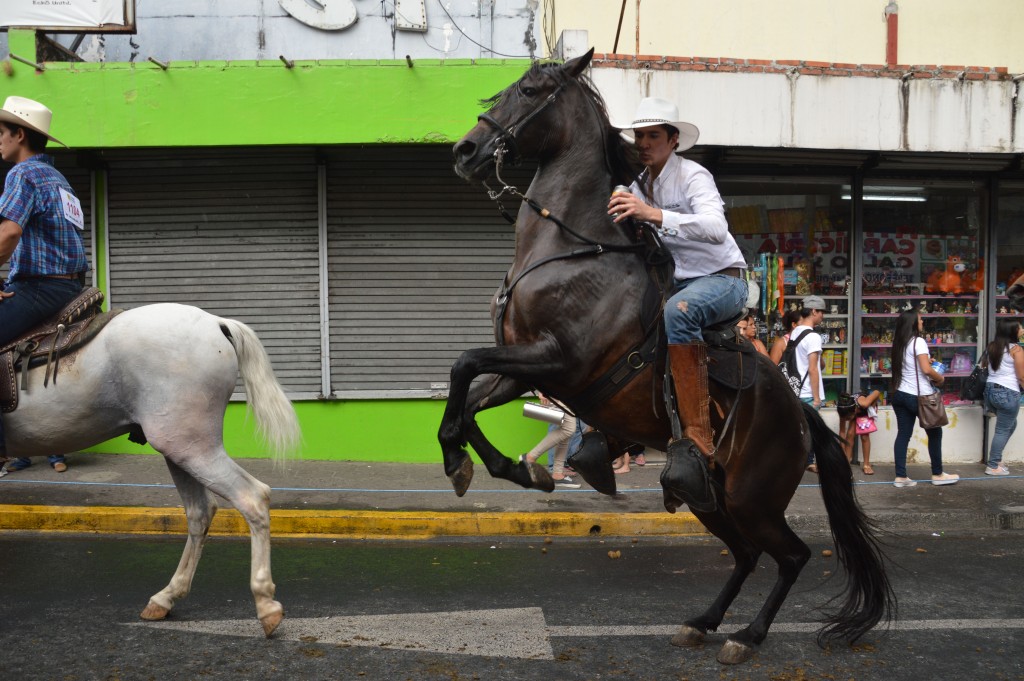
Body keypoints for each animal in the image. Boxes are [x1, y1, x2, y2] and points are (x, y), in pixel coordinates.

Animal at [2, 301, 299, 634]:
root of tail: (216, 323)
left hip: (192, 447)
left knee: (252, 497)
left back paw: (265, 603)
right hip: (180, 447)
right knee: (200, 512)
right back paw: (166, 597)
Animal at [440, 49, 897, 663]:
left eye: (531, 91)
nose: (466, 151)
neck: (572, 249)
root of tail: (801, 415)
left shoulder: (560, 362)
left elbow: (464, 363)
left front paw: (475, 463)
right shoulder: (522, 366)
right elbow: (465, 393)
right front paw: (501, 467)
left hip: (752, 499)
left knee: (791, 555)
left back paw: (747, 636)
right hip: (711, 498)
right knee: (749, 555)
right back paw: (704, 621)